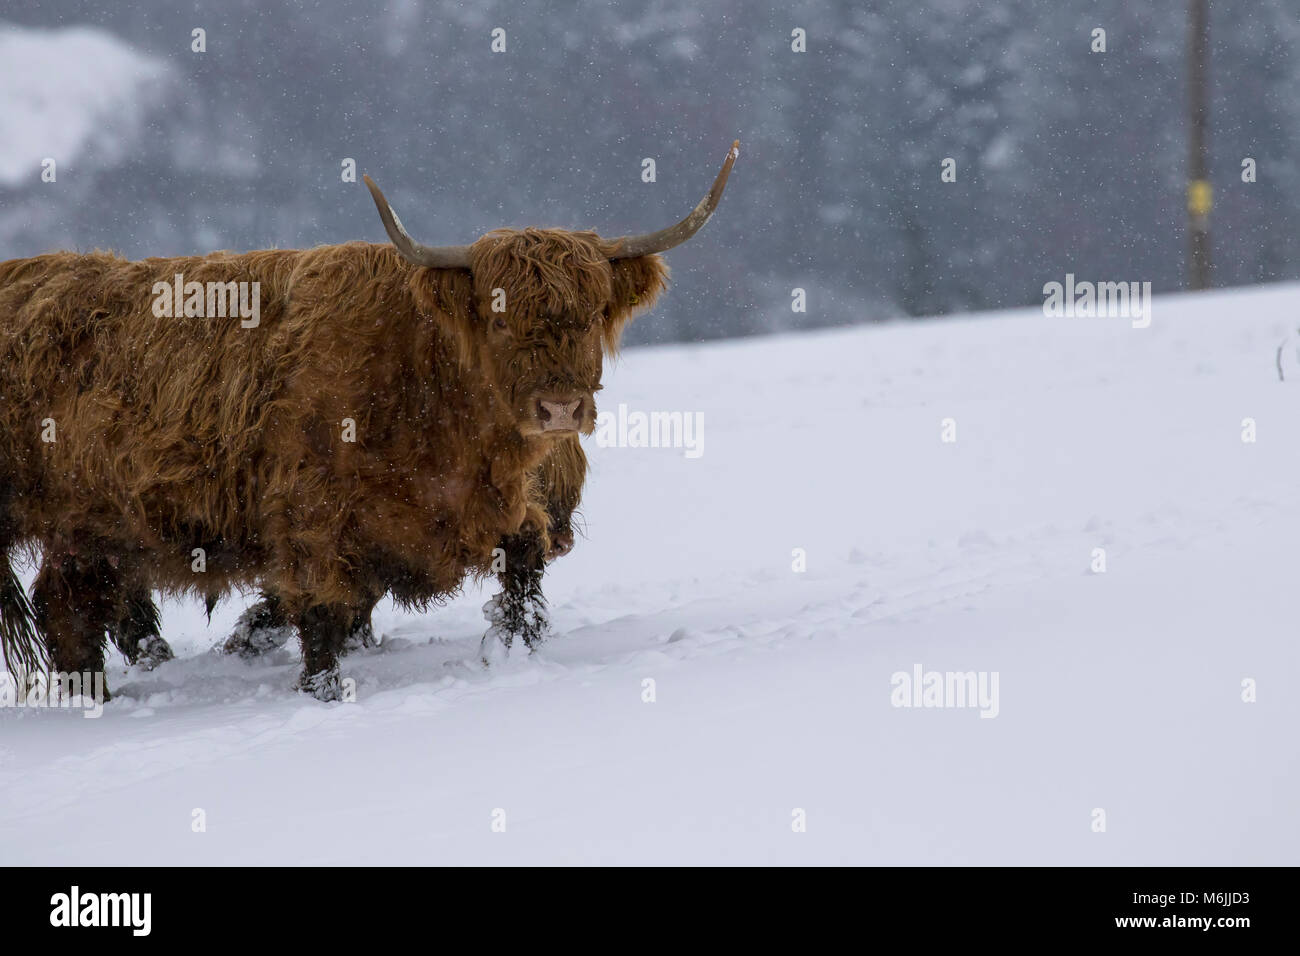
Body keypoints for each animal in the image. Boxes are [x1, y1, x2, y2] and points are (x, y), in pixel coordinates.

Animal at [0, 141, 733, 697]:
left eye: (592, 312)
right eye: (498, 316)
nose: (558, 408)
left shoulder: (507, 511)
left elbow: (519, 583)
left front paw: (515, 654)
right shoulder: (313, 523)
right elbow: (323, 617)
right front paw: (324, 693)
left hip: (92, 530)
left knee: (77, 604)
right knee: (73, 611)